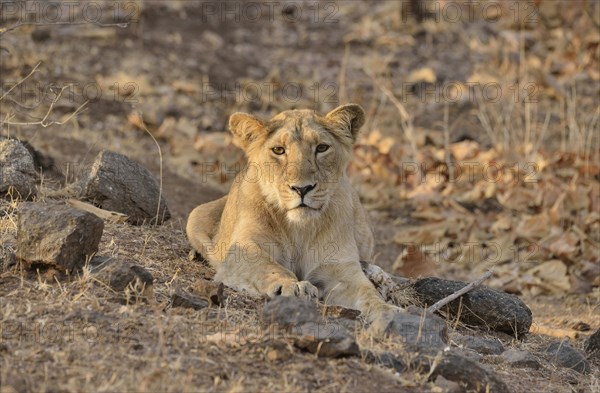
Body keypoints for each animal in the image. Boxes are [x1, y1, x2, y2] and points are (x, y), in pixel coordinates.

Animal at [186, 103, 398, 318]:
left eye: (322, 148)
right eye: (279, 150)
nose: (302, 189)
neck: (299, 229)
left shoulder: (339, 266)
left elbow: (366, 293)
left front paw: (388, 311)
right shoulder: (244, 251)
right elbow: (270, 267)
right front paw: (293, 286)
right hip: (196, 216)